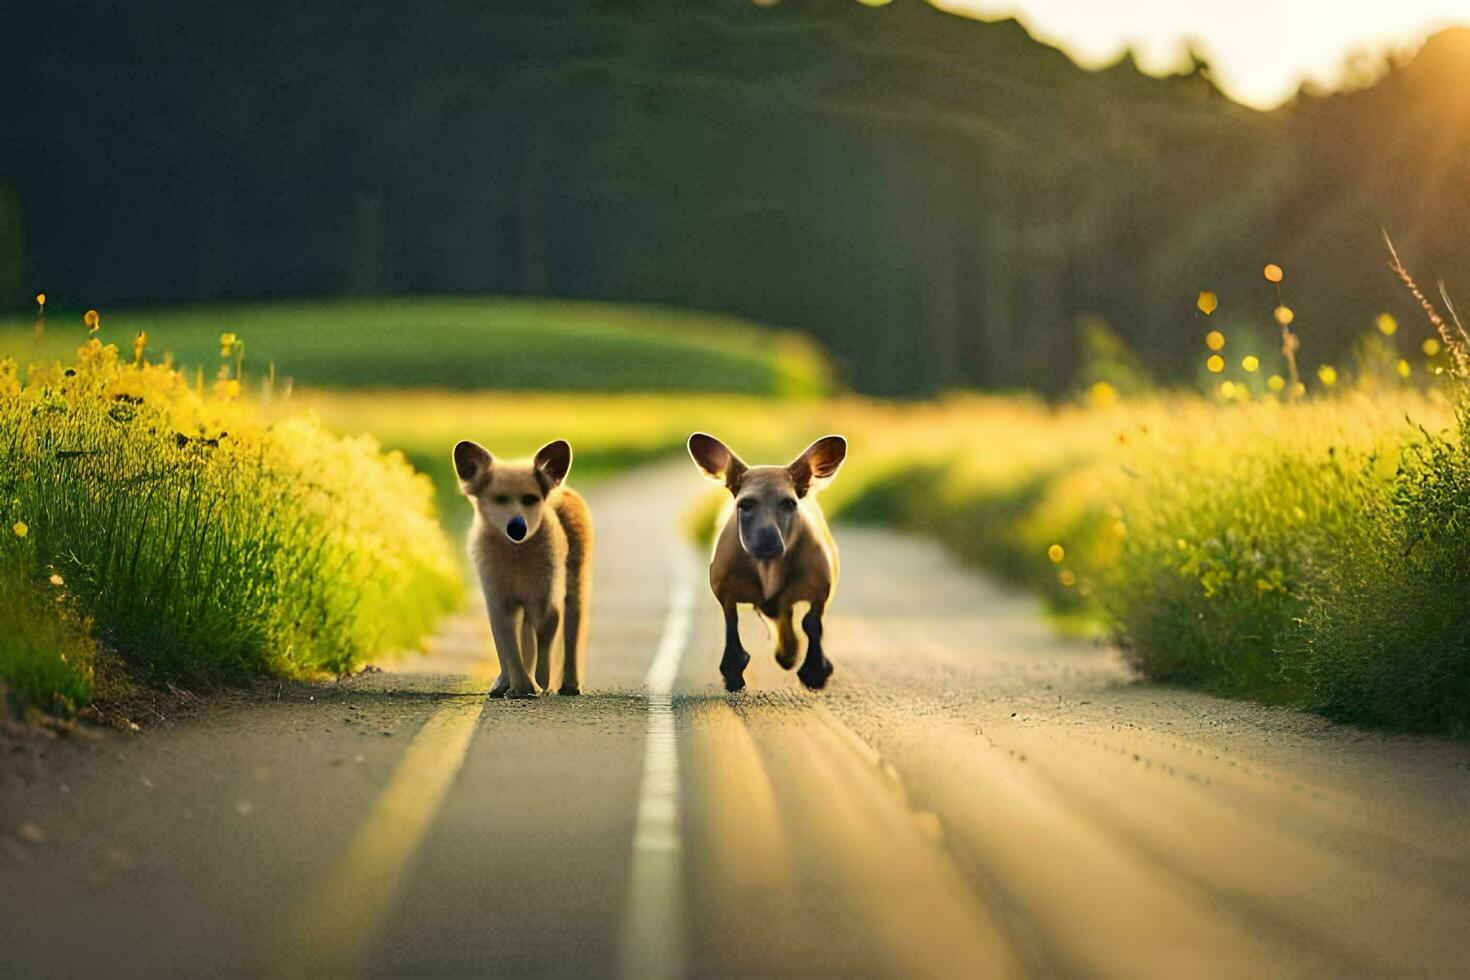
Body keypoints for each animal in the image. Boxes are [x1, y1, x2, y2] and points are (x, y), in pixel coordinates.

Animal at [452, 437, 590, 696]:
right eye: (499, 499)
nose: (517, 527)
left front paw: (539, 681)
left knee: (571, 629)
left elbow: (547, 630)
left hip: (576, 582)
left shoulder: (544, 595)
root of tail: (562, 487)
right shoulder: (497, 598)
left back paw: (568, 685)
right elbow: (507, 644)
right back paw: (505, 684)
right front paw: (519, 686)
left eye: (530, 499)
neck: (516, 555)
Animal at [687, 431, 852, 693]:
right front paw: (732, 672)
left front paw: (815, 671)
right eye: (745, 504)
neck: (769, 569)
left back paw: (789, 653)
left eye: (789, 503)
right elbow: (731, 623)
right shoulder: (724, 587)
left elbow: (811, 622)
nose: (767, 540)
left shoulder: (821, 585)